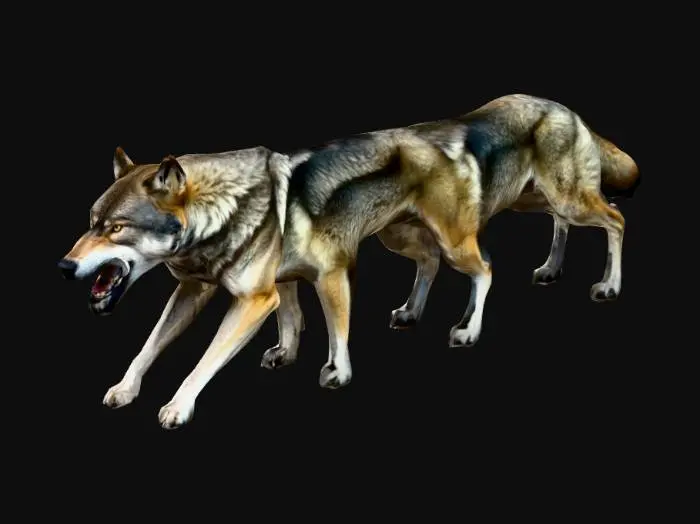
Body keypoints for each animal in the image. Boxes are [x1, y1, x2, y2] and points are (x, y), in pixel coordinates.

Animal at [58, 94, 639, 429]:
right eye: (90, 221)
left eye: (116, 229)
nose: (64, 267)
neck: (224, 210)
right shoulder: (209, 290)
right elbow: (150, 347)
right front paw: (125, 389)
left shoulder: (295, 285)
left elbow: (212, 358)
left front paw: (180, 407)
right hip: (436, 230)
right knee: (452, 258)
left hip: (492, 226)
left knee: (583, 230)